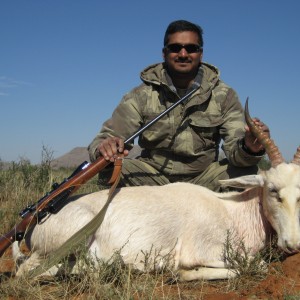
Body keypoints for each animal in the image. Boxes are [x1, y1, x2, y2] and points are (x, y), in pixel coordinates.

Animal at [12, 103, 300, 282]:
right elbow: (255, 265)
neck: (230, 210)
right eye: (273, 190)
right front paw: (181, 273)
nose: (292, 245)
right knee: (26, 271)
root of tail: (35, 223)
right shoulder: (207, 252)